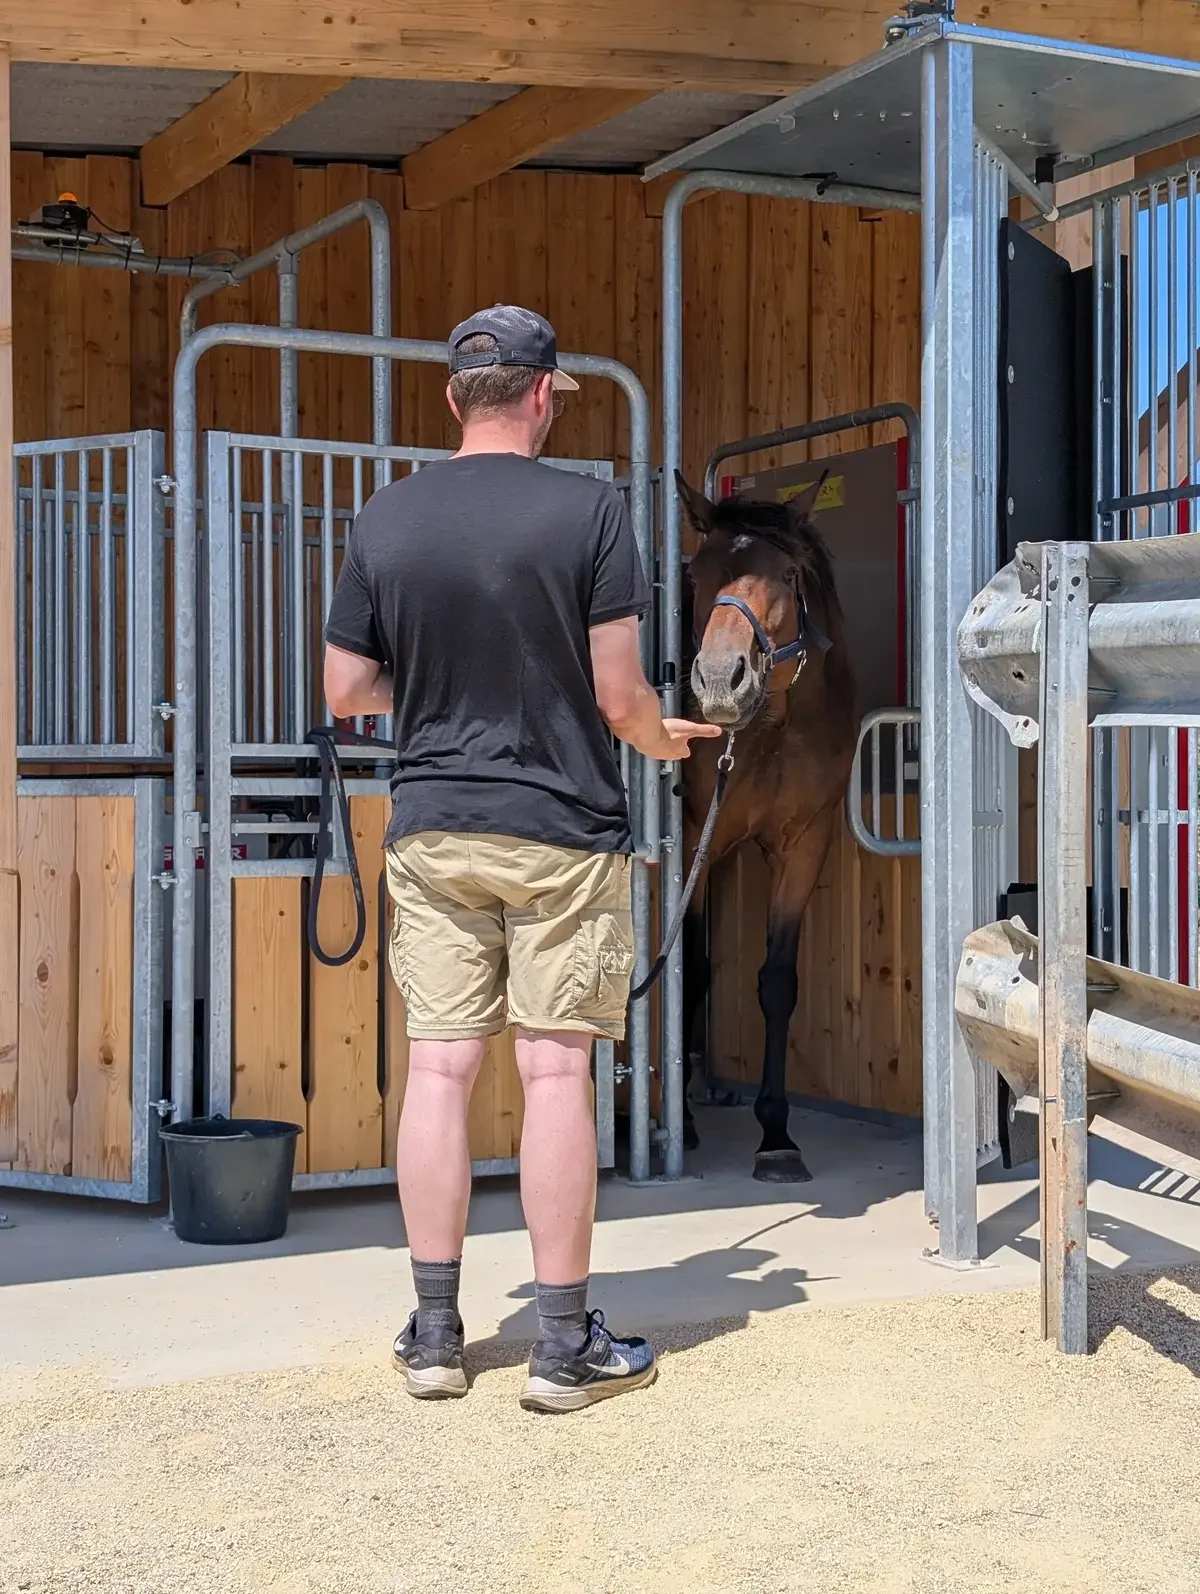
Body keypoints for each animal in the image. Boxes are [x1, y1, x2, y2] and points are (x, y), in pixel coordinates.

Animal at [675, 469, 860, 1183]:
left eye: (787, 573)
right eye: (696, 573)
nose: (721, 682)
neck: (773, 728)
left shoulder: (804, 844)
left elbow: (777, 982)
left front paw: (776, 1134)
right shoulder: (696, 837)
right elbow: (691, 971)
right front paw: (682, 1125)